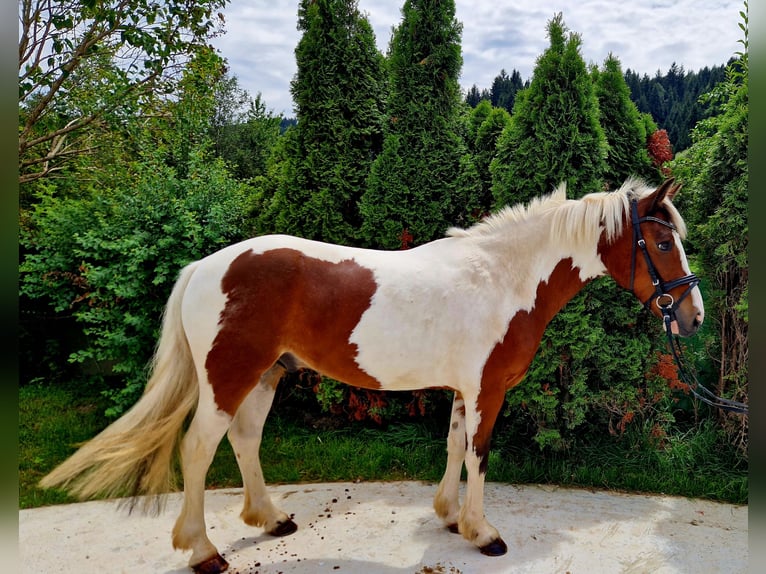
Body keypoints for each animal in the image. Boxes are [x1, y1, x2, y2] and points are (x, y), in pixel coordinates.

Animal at [40, 179, 704, 572]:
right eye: (662, 243)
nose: (692, 316)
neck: (501, 277)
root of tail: (205, 265)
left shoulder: (463, 390)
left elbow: (455, 446)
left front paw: (449, 516)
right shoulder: (486, 390)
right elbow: (480, 453)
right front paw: (483, 532)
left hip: (266, 376)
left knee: (245, 440)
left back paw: (271, 519)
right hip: (229, 378)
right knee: (200, 447)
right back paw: (202, 550)